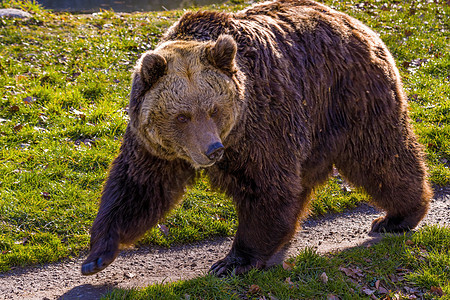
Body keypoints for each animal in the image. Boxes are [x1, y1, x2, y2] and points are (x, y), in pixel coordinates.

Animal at [81, 0, 432, 276]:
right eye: (182, 116)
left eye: (214, 109)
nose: (213, 150)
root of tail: (356, 21)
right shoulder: (153, 145)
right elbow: (137, 187)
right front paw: (97, 256)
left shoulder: (260, 123)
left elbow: (266, 187)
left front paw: (233, 261)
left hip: (350, 95)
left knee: (381, 156)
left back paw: (397, 217)